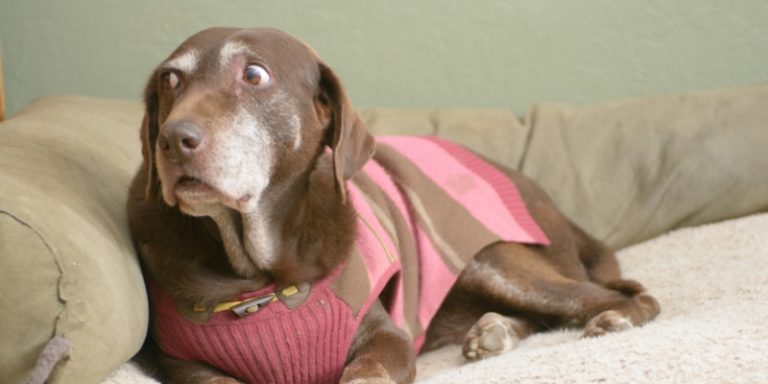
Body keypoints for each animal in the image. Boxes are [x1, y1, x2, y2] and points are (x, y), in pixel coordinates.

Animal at [127, 27, 660, 384]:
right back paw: (494, 331)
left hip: (493, 260)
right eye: (171, 80)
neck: (261, 280)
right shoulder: (185, 366)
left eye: (254, 74)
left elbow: (368, 372)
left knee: (627, 296)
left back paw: (611, 320)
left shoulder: (387, 339)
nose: (173, 140)